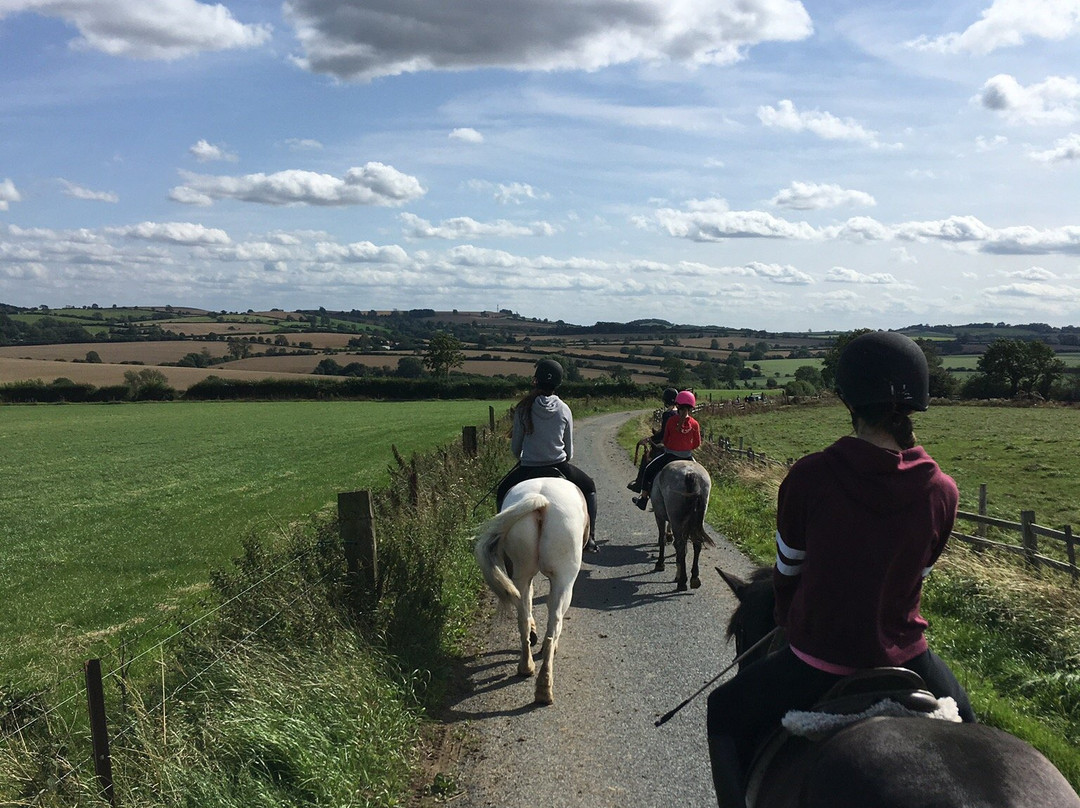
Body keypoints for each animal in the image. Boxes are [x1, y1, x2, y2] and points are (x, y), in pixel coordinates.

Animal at [475, 477, 587, 704]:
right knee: (555, 622)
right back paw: (545, 684)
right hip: (564, 579)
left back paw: (527, 667)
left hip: (521, 571)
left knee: (523, 616)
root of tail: (541, 502)